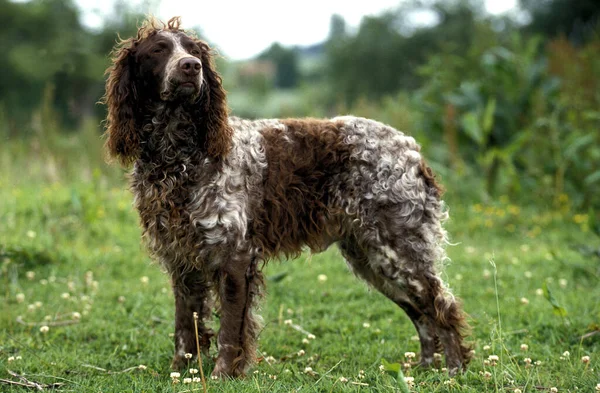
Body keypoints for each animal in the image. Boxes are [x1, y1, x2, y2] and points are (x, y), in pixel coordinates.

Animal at [102, 16, 468, 378]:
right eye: (158, 50)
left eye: (194, 51)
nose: (191, 66)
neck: (178, 156)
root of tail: (412, 149)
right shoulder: (181, 261)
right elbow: (184, 328)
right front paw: (180, 371)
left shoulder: (235, 257)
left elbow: (229, 332)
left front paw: (222, 375)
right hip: (373, 258)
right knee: (422, 314)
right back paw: (424, 369)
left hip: (397, 252)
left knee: (442, 307)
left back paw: (455, 370)